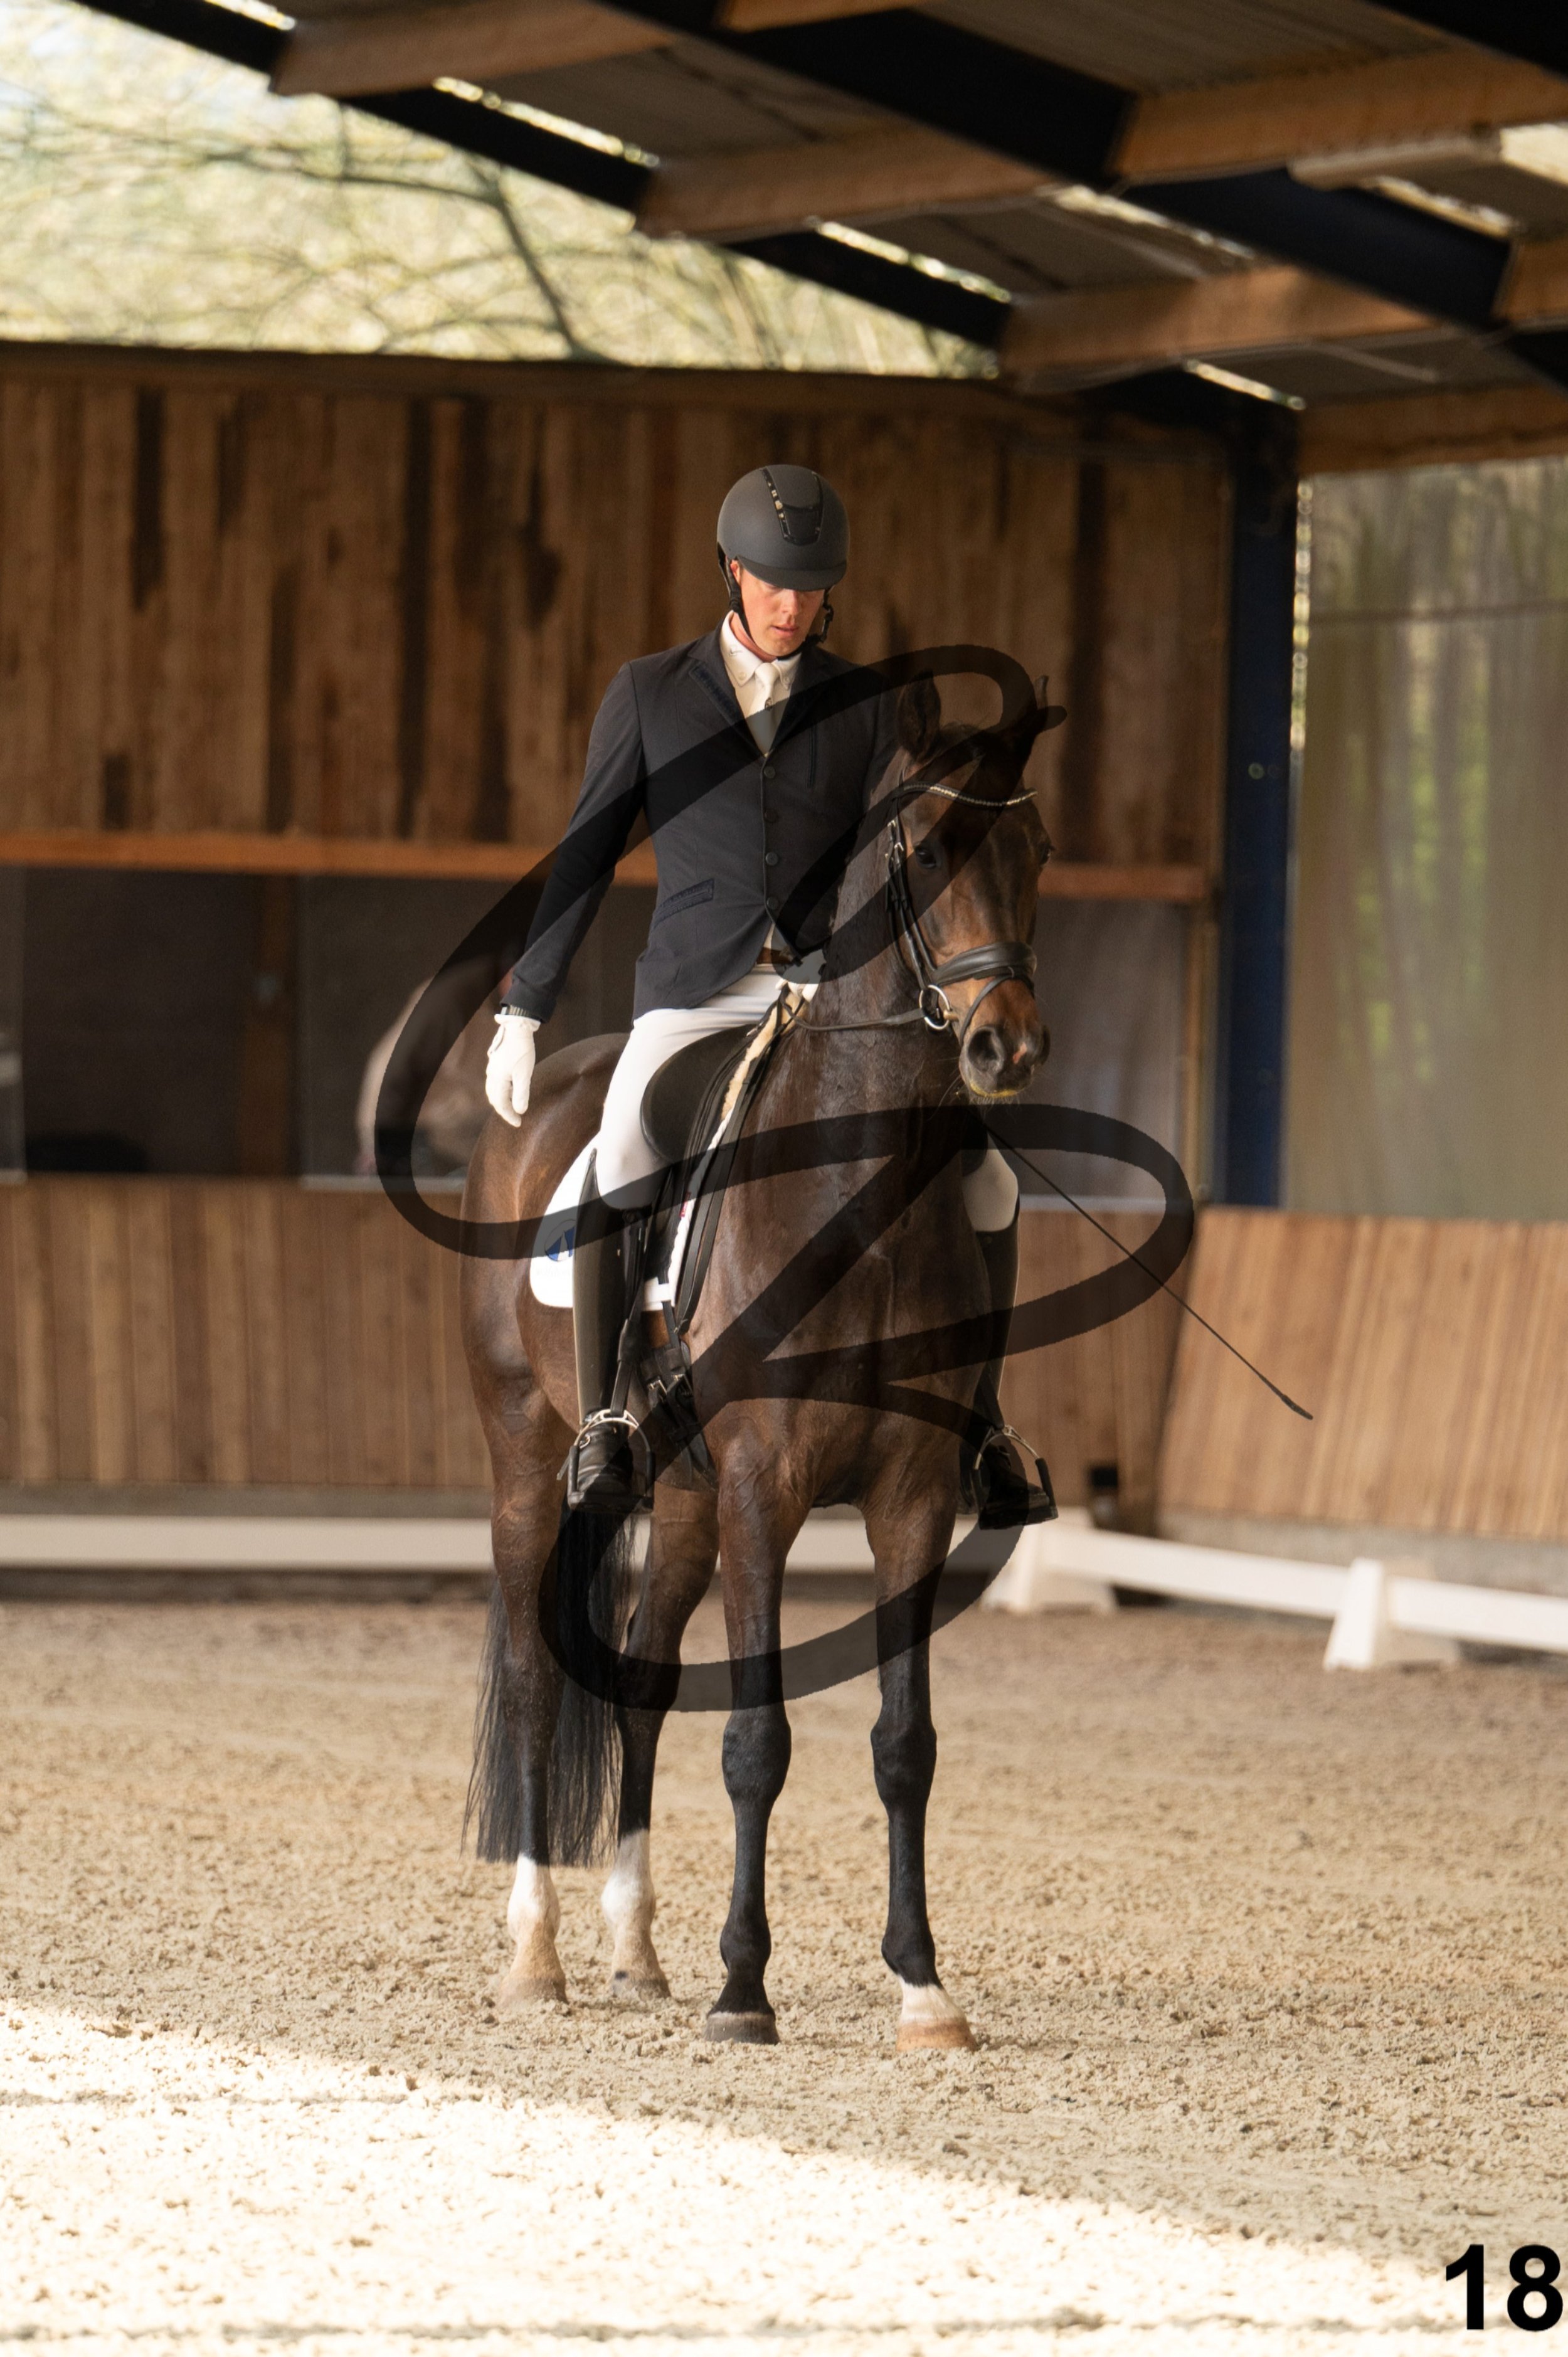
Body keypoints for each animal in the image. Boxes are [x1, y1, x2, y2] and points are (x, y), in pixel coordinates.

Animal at [459, 668, 1055, 2051]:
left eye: (1038, 852)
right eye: (925, 850)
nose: (1002, 1047)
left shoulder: (907, 1495)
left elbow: (904, 1742)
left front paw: (922, 1986)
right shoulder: (761, 1489)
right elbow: (755, 1742)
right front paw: (744, 1987)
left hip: (676, 1502)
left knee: (635, 1676)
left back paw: (634, 1948)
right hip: (526, 1457)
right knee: (533, 1674)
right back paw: (537, 1953)